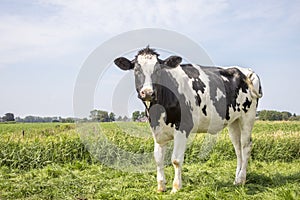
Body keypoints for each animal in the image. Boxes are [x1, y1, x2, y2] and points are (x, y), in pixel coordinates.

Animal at [113, 46, 262, 193]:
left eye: (158, 70)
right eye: (136, 69)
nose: (148, 92)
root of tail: (247, 71)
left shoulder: (183, 127)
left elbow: (176, 160)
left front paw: (176, 187)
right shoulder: (157, 130)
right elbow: (158, 159)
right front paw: (161, 187)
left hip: (248, 116)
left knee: (246, 146)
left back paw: (241, 179)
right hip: (233, 121)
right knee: (238, 148)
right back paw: (236, 180)